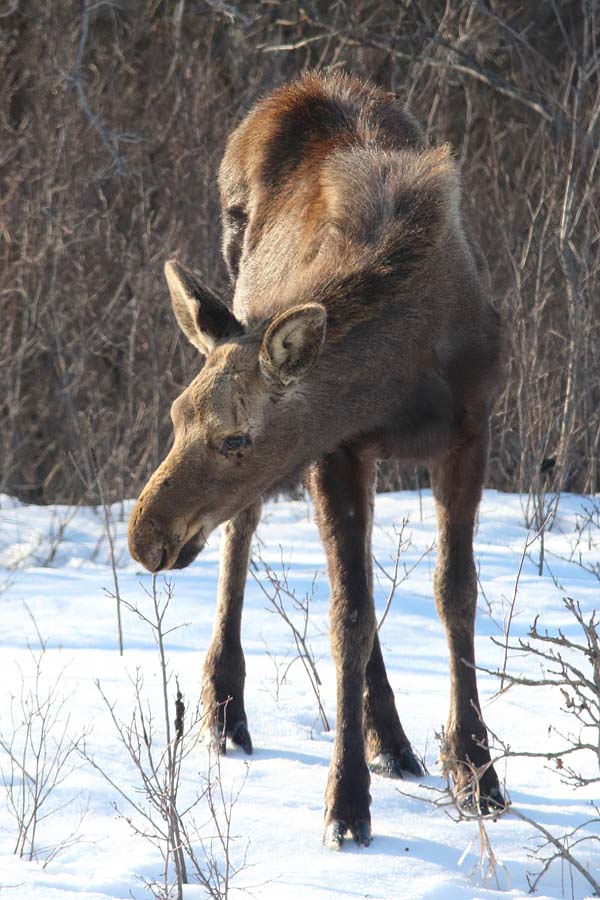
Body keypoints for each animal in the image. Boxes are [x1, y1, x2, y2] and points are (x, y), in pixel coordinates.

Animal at [129, 68, 504, 844]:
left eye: (235, 438)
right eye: (176, 418)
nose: (144, 536)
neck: (402, 378)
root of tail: (303, 84)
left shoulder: (470, 427)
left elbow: (453, 593)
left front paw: (477, 772)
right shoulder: (335, 445)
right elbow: (348, 618)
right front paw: (346, 803)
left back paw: (393, 741)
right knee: (246, 532)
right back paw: (228, 710)